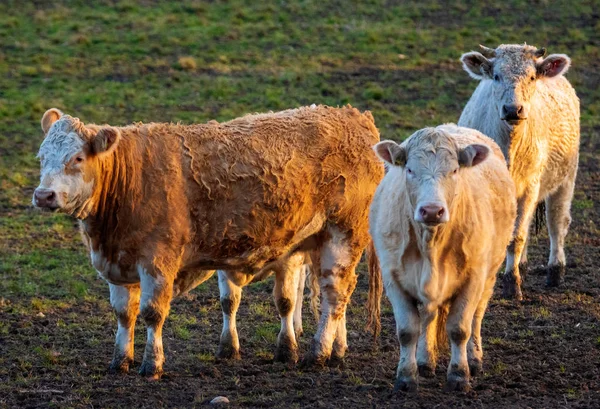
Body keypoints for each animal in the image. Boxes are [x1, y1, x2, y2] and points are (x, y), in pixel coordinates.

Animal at [32, 104, 382, 376]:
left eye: (77, 158)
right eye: (40, 157)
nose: (43, 195)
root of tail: (356, 117)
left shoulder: (158, 261)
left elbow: (152, 313)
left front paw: (152, 364)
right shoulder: (118, 262)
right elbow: (124, 314)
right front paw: (120, 361)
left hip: (343, 233)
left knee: (335, 292)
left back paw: (319, 353)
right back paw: (335, 350)